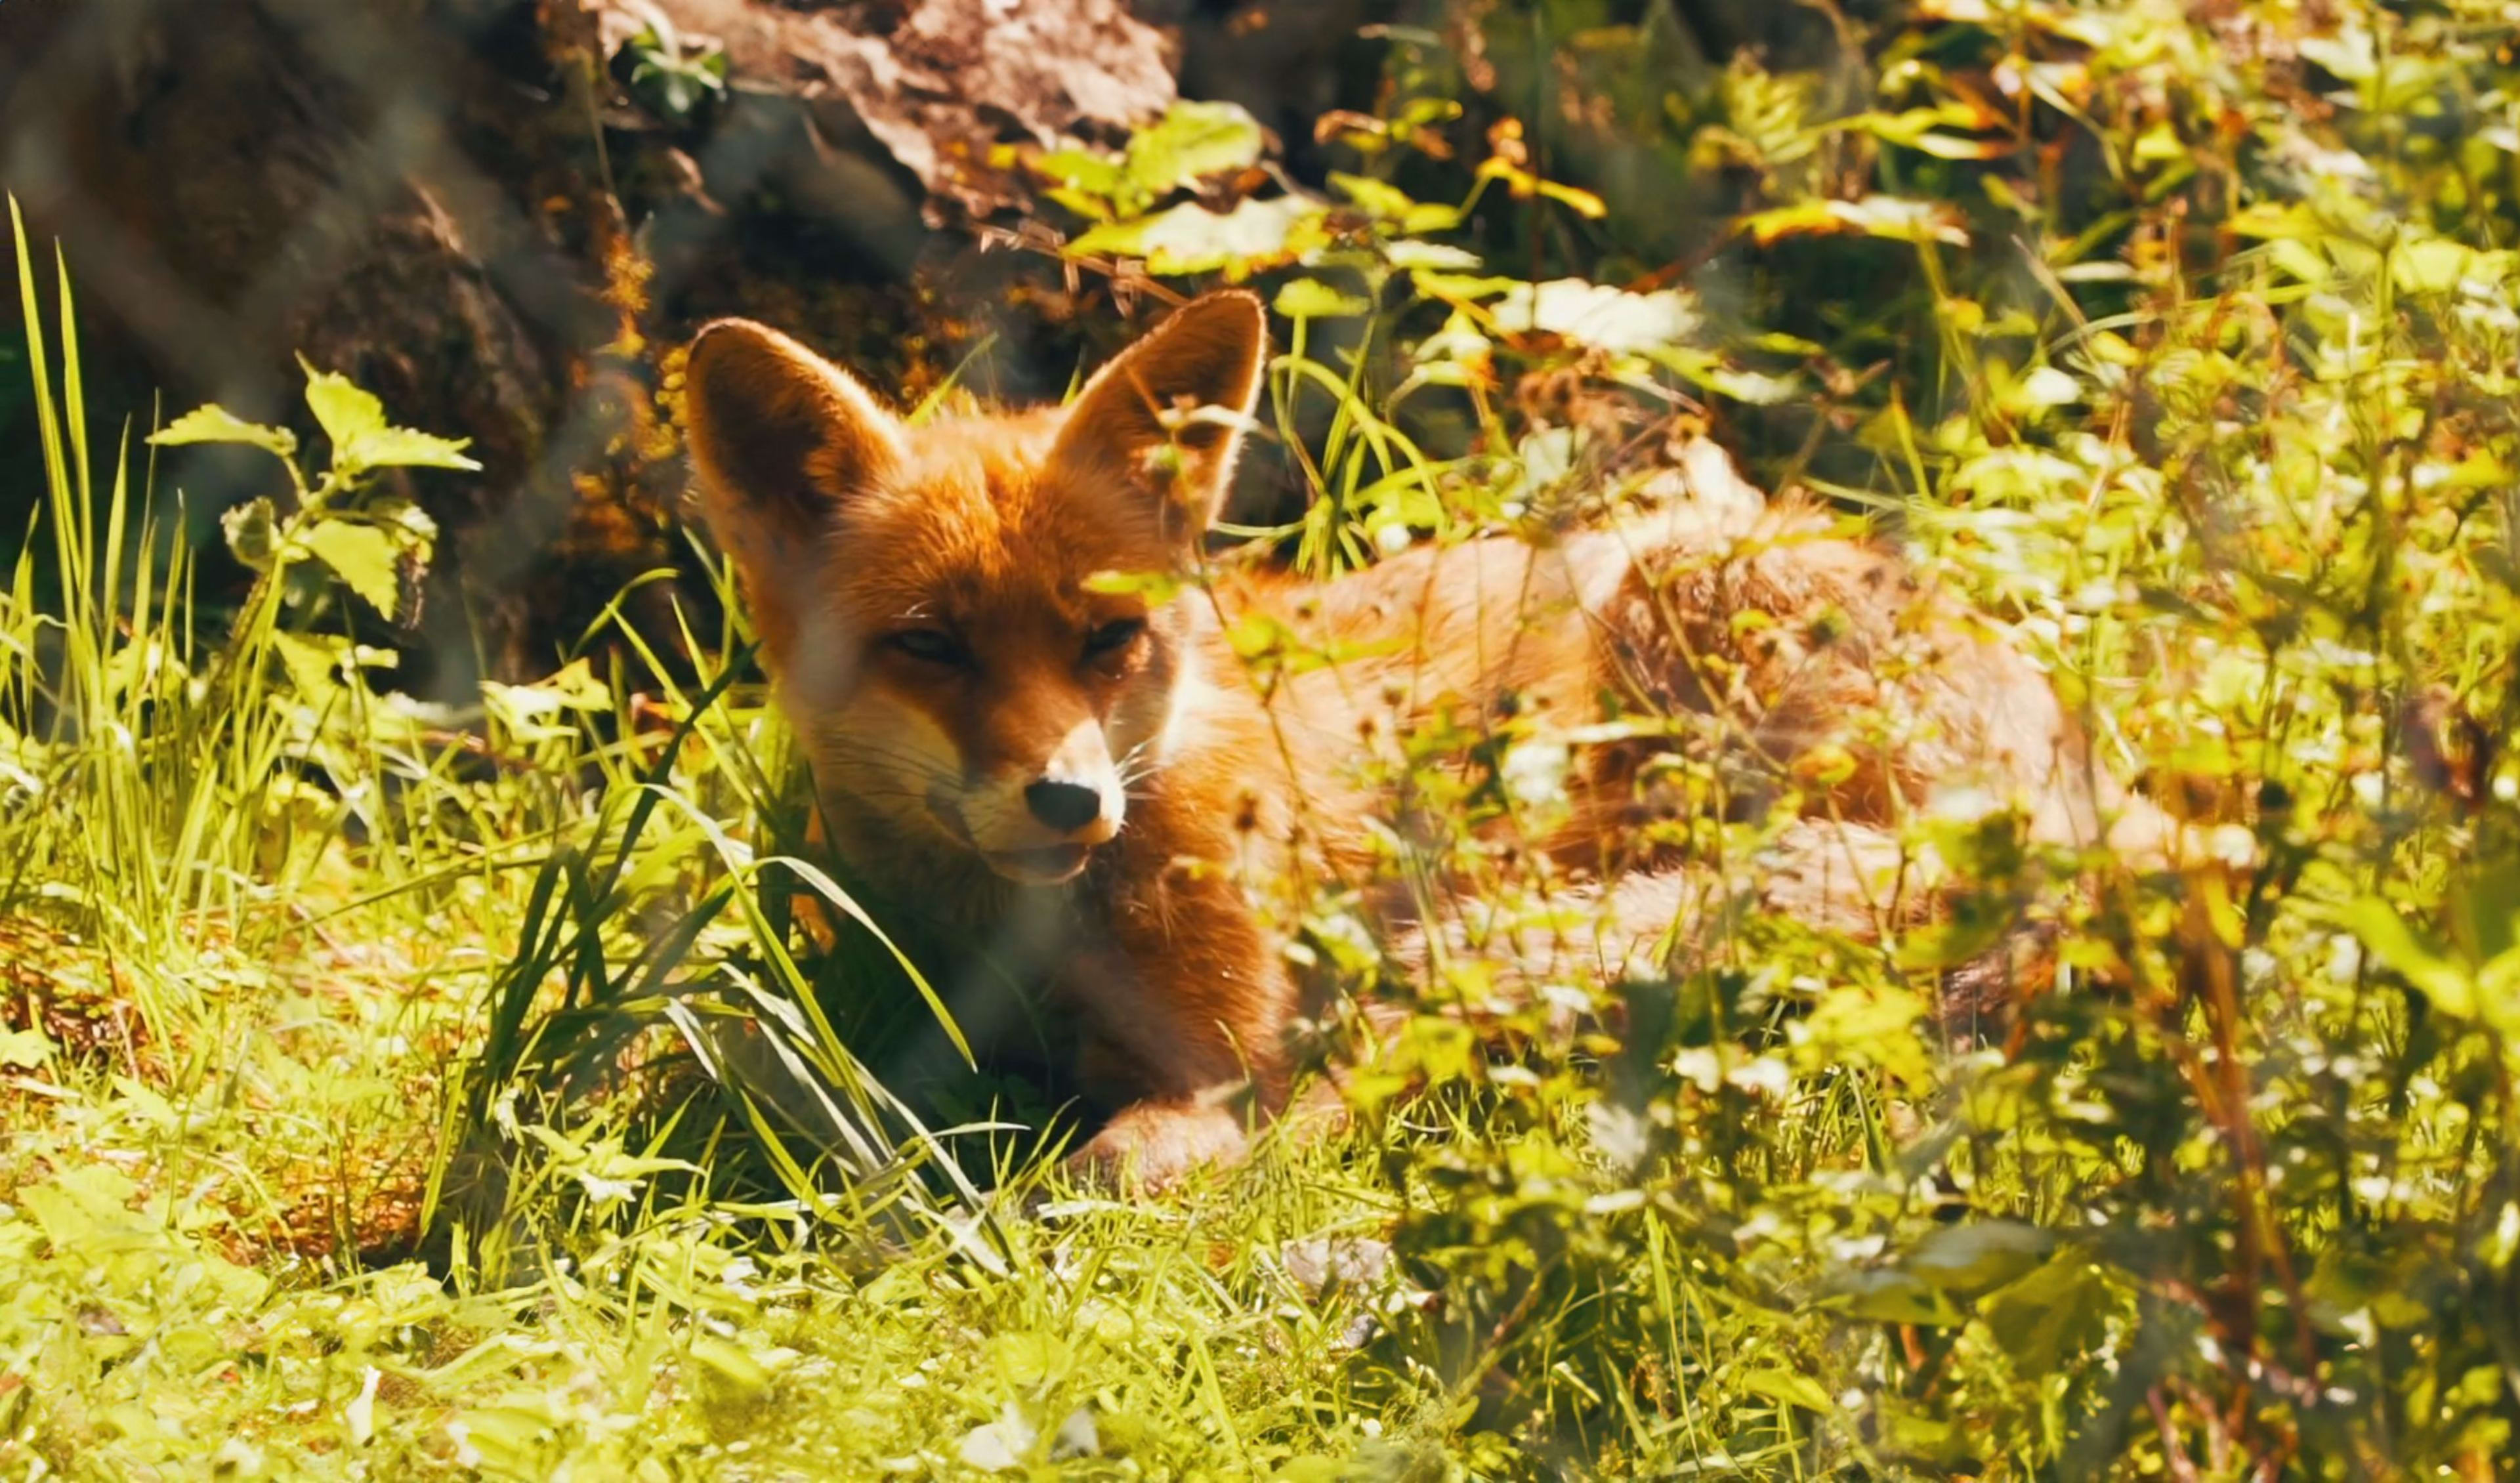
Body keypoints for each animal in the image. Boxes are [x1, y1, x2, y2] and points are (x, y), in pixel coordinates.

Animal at [685, 289, 2167, 1193]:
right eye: (930, 645)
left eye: (1108, 639)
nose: (1067, 801)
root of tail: (2106, 792)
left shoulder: (1221, 1061)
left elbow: (1123, 1164)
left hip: (1678, 612)